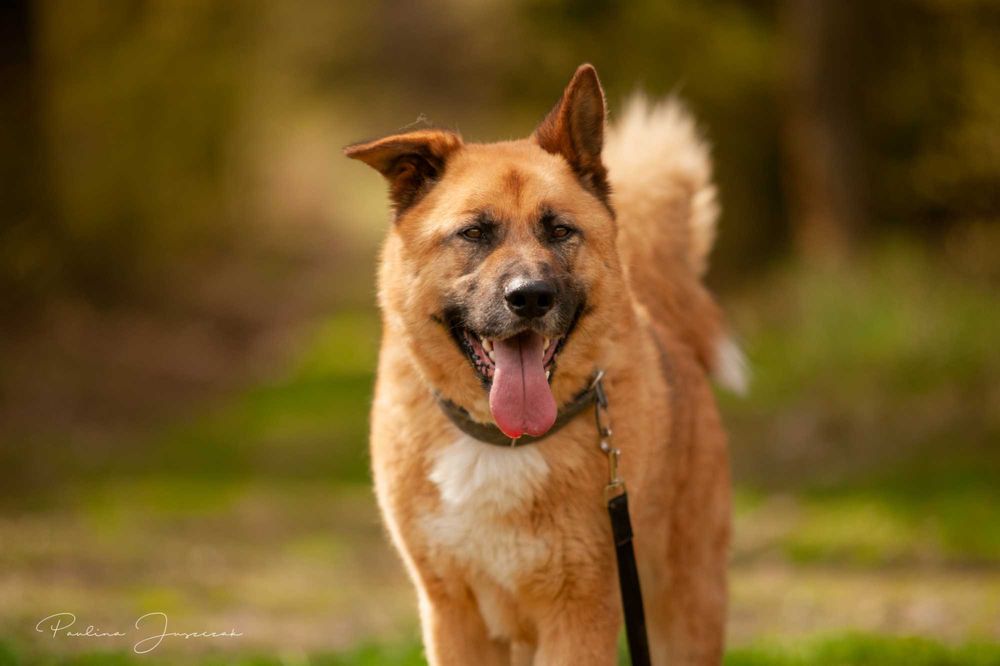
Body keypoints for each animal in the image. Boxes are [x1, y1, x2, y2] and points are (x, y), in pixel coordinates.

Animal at [344, 63, 744, 664]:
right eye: (474, 232)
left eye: (559, 230)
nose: (530, 297)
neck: (502, 442)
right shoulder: (454, 618)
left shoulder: (580, 615)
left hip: (684, 607)